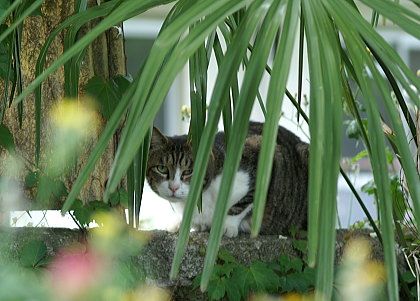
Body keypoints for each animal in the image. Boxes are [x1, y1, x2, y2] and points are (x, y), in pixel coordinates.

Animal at [147, 120, 308, 236]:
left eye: (189, 171)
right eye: (162, 168)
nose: (173, 187)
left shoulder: (264, 156)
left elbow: (241, 204)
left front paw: (226, 226)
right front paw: (177, 224)